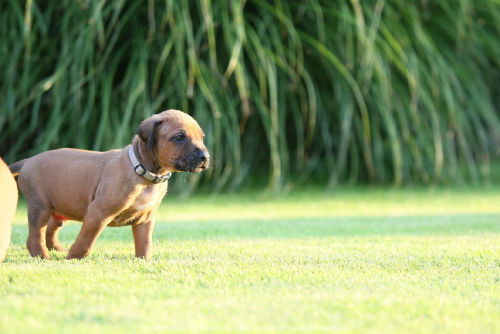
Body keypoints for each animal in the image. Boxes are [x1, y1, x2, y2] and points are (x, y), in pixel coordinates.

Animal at [9, 110, 209, 260]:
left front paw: (144, 261)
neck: (144, 172)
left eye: (202, 137)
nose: (205, 158)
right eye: (179, 137)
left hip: (59, 209)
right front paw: (72, 259)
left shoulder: (145, 219)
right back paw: (43, 257)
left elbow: (145, 244)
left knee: (51, 229)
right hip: (39, 206)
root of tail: (28, 161)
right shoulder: (98, 213)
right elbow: (86, 242)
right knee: (35, 237)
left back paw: (56, 249)